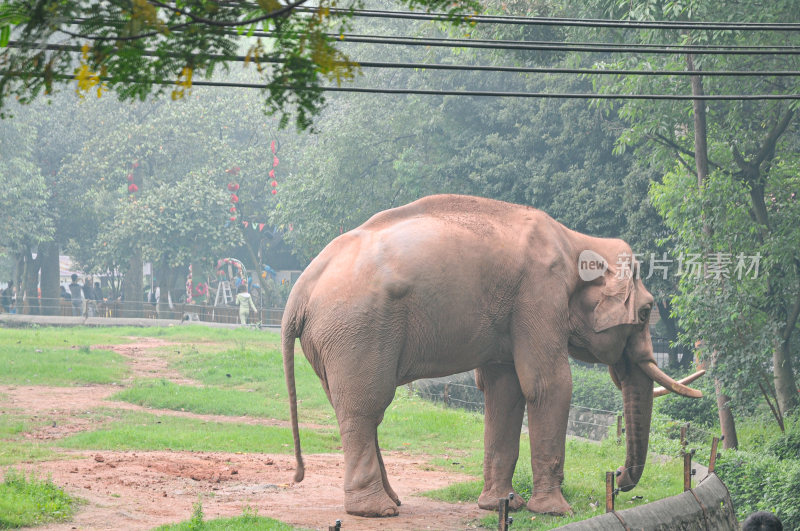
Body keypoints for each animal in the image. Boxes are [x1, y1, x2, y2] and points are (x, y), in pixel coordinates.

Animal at [280, 195, 700, 520]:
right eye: (645, 312)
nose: (617, 478)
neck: (576, 239)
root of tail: (301, 288)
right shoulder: (539, 292)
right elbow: (549, 384)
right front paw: (555, 511)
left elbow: (505, 390)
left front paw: (504, 505)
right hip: (358, 330)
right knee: (366, 407)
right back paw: (376, 511)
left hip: (335, 340)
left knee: (355, 408)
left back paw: (393, 502)